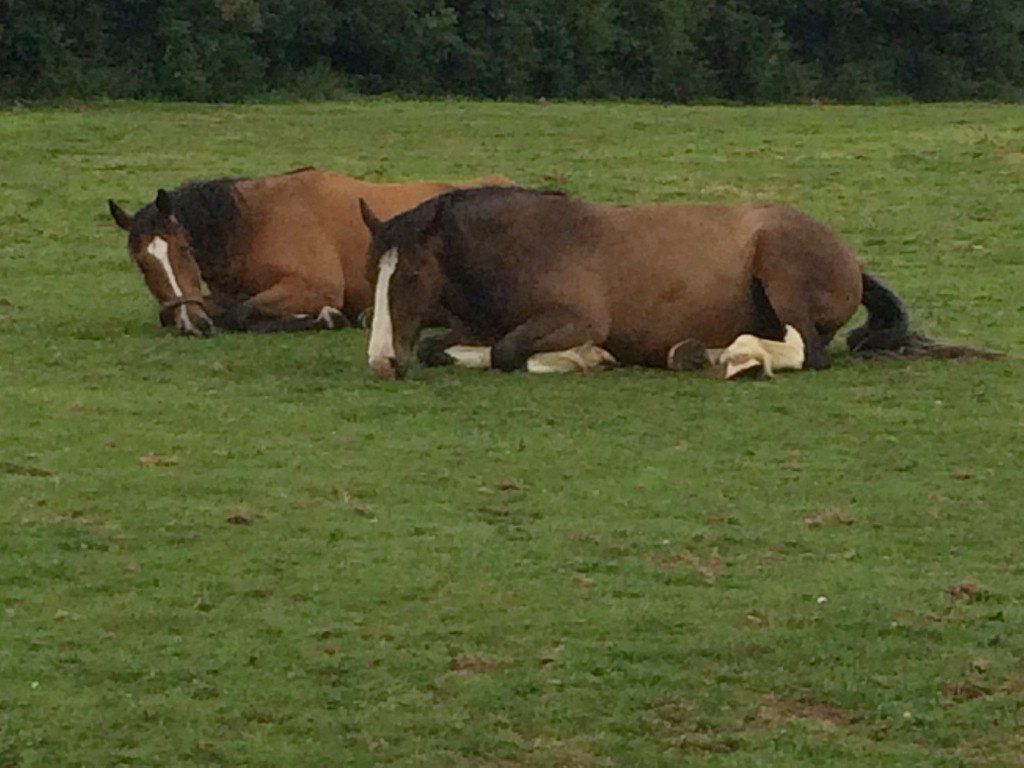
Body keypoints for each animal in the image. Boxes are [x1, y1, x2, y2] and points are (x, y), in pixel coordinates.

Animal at [107, 168, 509, 336]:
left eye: (186, 247)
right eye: (142, 263)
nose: (194, 325)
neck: (257, 222)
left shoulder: (314, 287)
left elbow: (241, 313)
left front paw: (327, 317)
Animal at [357, 186, 996, 380]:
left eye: (411, 274)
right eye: (373, 273)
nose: (382, 361)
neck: (531, 244)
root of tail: (849, 257)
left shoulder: (574, 318)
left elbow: (511, 352)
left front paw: (586, 357)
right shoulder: (473, 324)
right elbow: (446, 348)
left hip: (781, 266)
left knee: (806, 350)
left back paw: (728, 356)